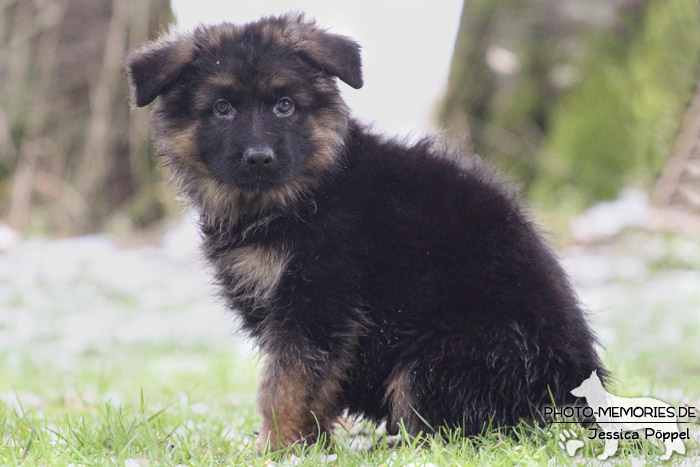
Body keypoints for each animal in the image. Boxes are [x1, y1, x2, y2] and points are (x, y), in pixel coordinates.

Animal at [126, 13, 608, 454]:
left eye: (285, 105)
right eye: (222, 108)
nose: (259, 158)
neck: (301, 197)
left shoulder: (320, 302)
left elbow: (285, 385)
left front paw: (277, 448)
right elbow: (311, 387)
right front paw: (309, 445)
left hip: (441, 359)